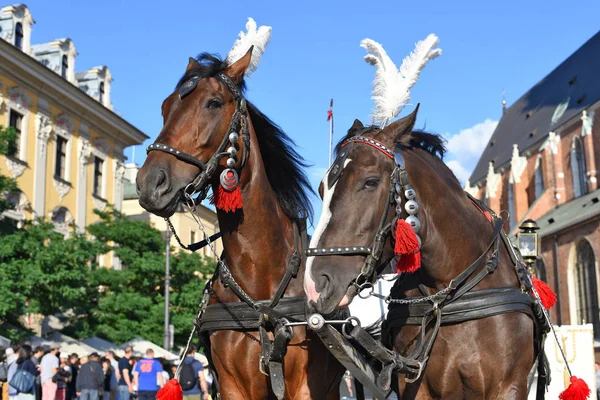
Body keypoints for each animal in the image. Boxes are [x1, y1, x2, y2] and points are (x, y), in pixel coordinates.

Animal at [308, 107, 548, 400]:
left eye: (370, 182)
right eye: (322, 189)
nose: (316, 282)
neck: (448, 293)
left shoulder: (508, 387)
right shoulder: (416, 387)